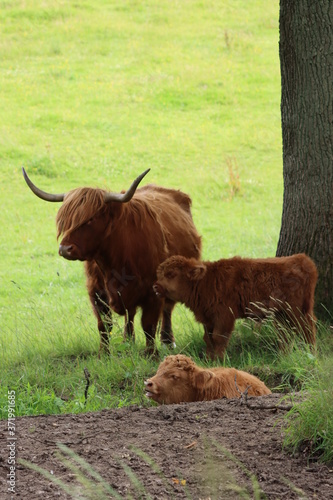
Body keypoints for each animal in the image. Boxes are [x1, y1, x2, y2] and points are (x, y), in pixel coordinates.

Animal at [23, 170, 201, 354]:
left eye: (90, 219)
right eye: (66, 221)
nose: (65, 249)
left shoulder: (153, 292)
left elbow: (149, 325)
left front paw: (151, 354)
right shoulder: (96, 291)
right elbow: (104, 325)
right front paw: (104, 353)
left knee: (166, 310)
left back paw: (167, 341)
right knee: (130, 314)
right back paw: (128, 341)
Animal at [153, 254, 316, 360]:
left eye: (171, 274)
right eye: (160, 274)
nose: (156, 286)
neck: (206, 281)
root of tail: (302, 260)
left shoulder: (224, 316)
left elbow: (219, 338)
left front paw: (219, 360)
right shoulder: (208, 318)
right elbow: (208, 339)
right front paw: (209, 360)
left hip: (297, 311)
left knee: (307, 329)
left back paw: (311, 354)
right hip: (281, 314)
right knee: (286, 334)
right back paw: (284, 356)